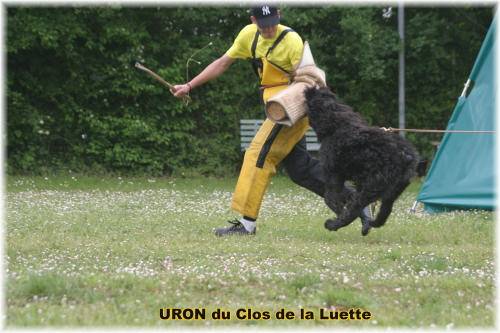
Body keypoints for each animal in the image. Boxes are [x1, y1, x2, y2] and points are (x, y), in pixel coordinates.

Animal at [304, 87, 418, 235]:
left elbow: (330, 199)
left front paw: (338, 212)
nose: (309, 89)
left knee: (354, 209)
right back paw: (372, 222)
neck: (337, 123)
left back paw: (334, 224)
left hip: (371, 187)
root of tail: (405, 156)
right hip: (393, 191)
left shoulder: (333, 173)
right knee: (385, 211)